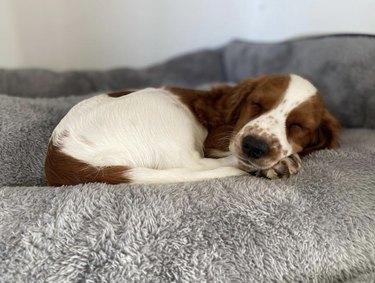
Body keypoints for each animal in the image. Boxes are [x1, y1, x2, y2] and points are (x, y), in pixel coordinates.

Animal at [44, 74, 340, 186]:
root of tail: (62, 155)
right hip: (166, 109)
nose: (254, 146)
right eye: (256, 104)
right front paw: (279, 163)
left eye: (298, 126)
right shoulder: (217, 140)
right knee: (195, 165)